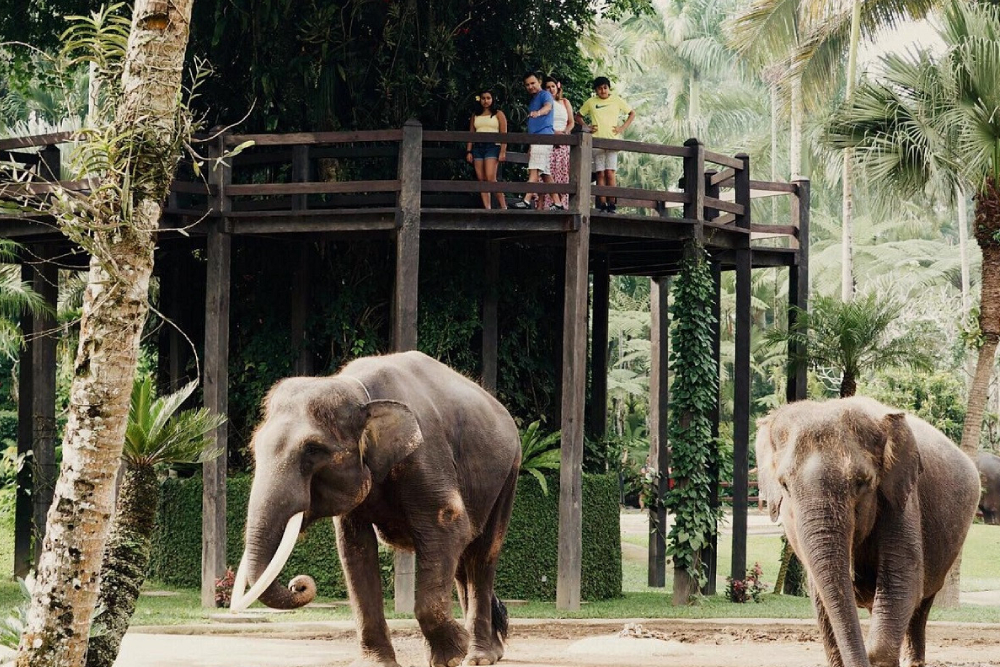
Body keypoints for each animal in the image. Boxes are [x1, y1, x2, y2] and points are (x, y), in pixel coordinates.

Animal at [230, 351, 522, 667]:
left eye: (313, 450)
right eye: (254, 446)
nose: (299, 584)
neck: (358, 392)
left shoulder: (425, 456)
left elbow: (448, 526)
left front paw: (451, 657)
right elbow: (355, 549)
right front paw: (377, 663)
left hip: (508, 475)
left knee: (482, 556)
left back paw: (478, 657)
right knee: (462, 563)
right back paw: (488, 650)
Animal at [755, 396, 980, 667]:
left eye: (861, 483)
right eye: (784, 485)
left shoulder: (902, 500)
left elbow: (902, 581)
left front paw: (874, 657)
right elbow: (823, 601)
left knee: (921, 604)